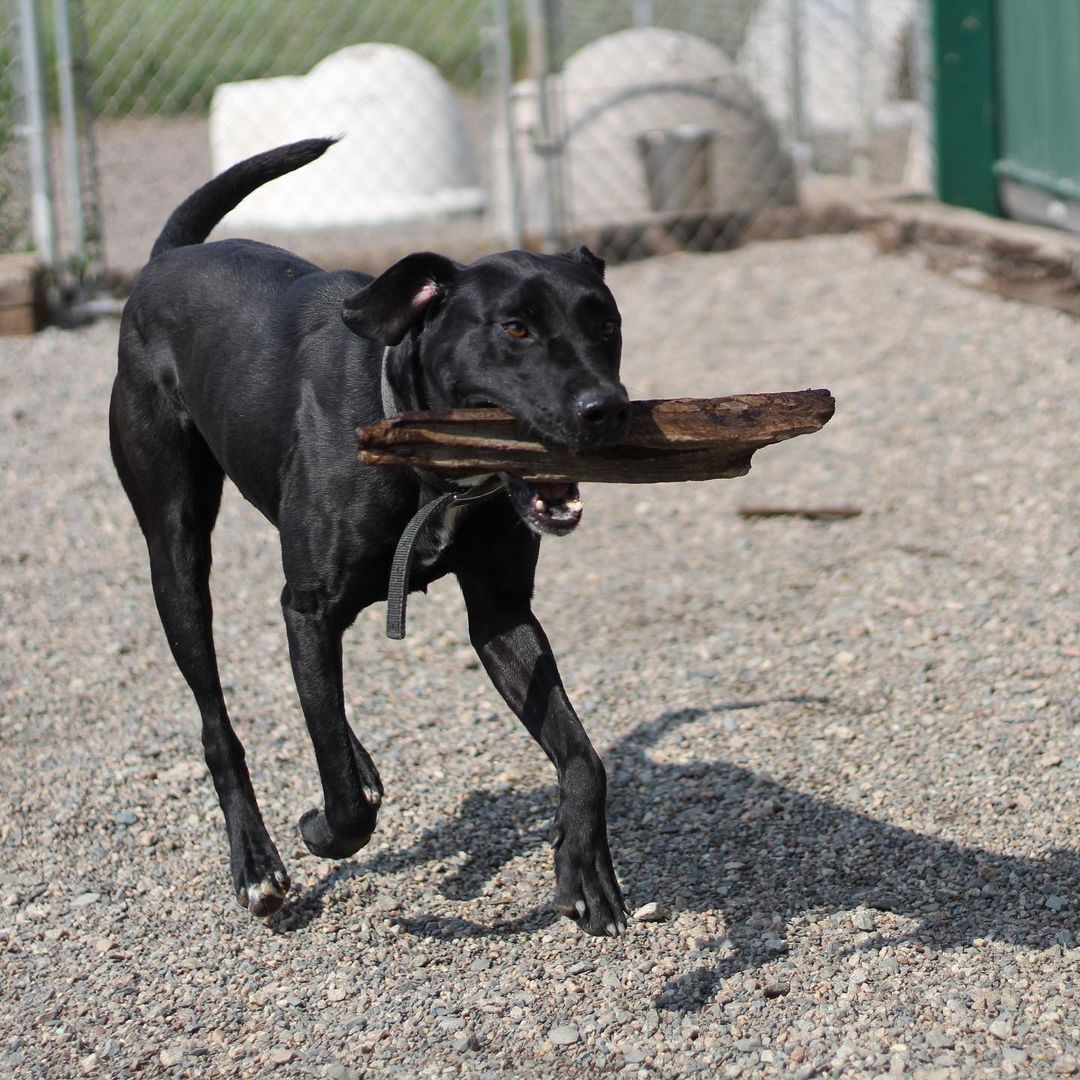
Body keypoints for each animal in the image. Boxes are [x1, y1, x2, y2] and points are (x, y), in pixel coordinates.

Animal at [108, 141, 630, 937]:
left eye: (606, 325)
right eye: (515, 328)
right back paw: (255, 864)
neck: (432, 466)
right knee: (217, 721)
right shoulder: (311, 605)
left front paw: (583, 864)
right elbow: (344, 804)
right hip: (175, 552)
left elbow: (581, 755)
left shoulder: (501, 612)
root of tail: (169, 258)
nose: (608, 408)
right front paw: (322, 830)